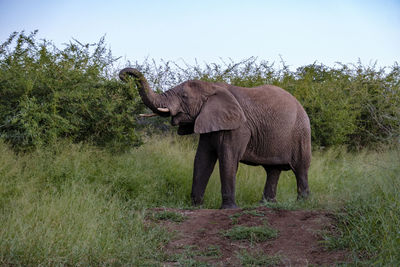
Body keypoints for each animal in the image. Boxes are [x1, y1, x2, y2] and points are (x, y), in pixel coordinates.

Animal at [119, 68, 312, 209]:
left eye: (184, 97)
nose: (123, 76)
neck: (211, 87)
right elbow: (202, 159)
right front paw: (196, 206)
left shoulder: (238, 127)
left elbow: (228, 158)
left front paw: (229, 209)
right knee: (273, 170)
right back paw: (266, 204)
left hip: (301, 133)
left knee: (300, 168)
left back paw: (302, 203)